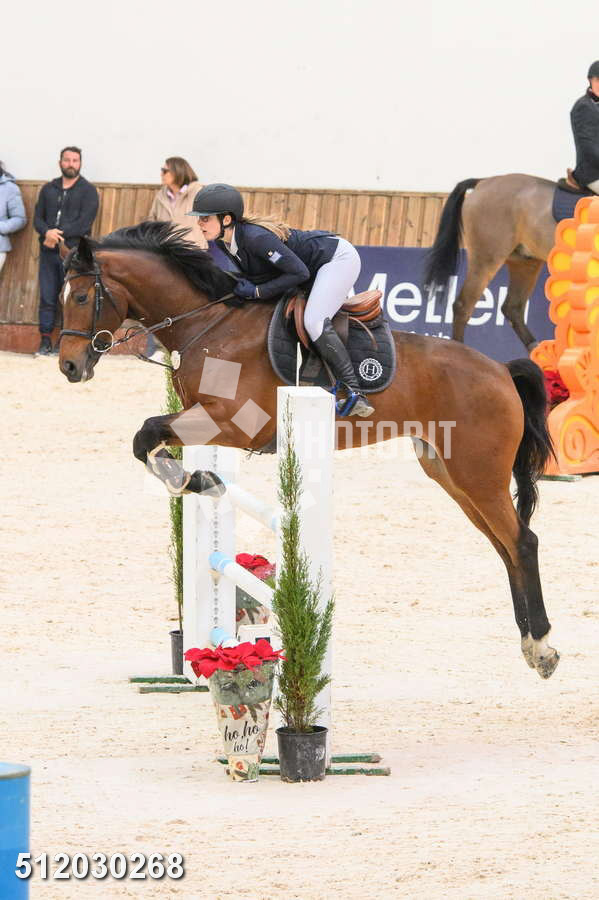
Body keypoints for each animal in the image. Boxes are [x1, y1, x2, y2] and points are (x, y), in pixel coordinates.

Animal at [58, 220, 559, 679]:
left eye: (80, 298)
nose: (68, 366)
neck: (207, 323)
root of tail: (501, 370)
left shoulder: (231, 422)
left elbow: (146, 434)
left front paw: (190, 479)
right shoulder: (203, 418)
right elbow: (151, 439)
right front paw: (198, 479)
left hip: (478, 473)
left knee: (523, 541)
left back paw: (542, 647)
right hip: (451, 474)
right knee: (504, 546)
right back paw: (529, 644)